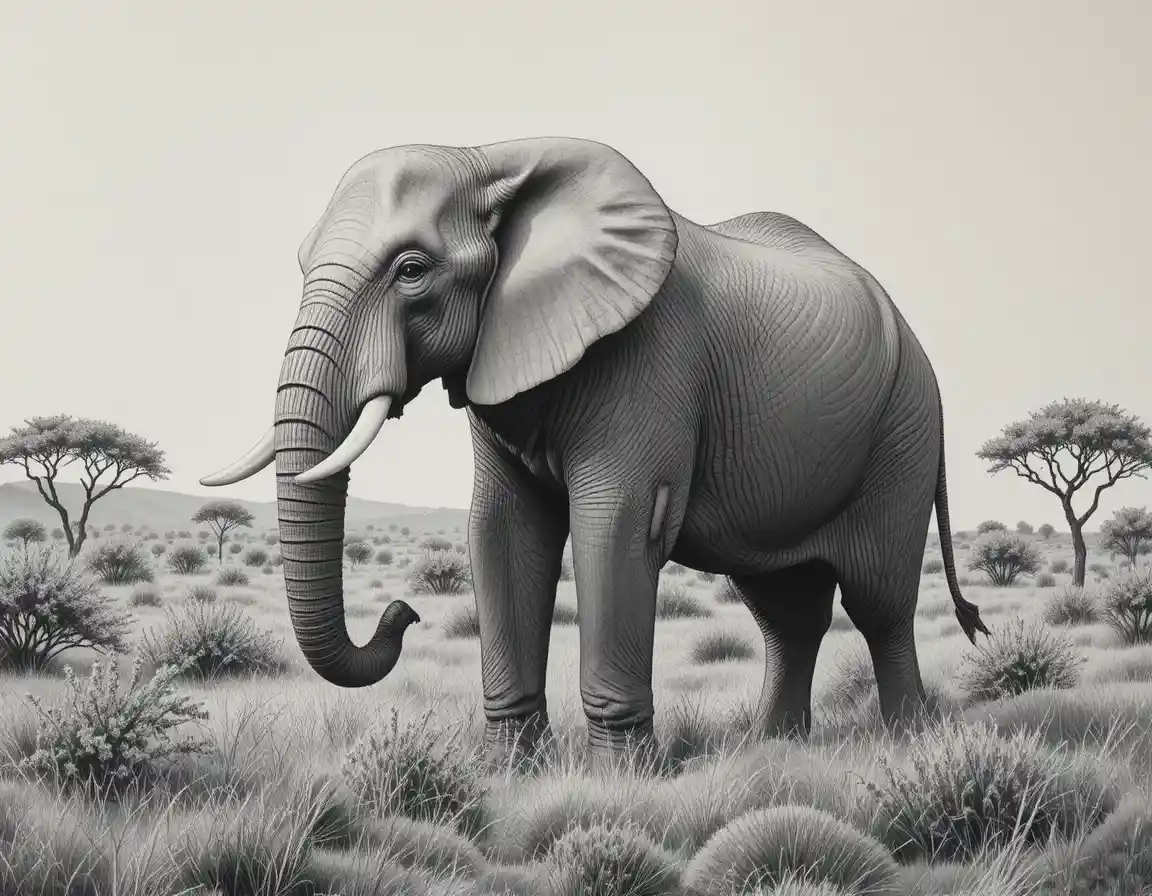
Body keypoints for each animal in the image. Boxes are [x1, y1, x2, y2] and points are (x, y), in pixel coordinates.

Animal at [201, 136, 988, 762]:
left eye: (412, 269)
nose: (404, 612)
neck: (492, 158)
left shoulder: (649, 359)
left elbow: (614, 526)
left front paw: (625, 776)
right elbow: (501, 529)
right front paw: (510, 769)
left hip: (903, 430)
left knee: (878, 601)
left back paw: (909, 743)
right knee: (786, 612)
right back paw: (771, 748)